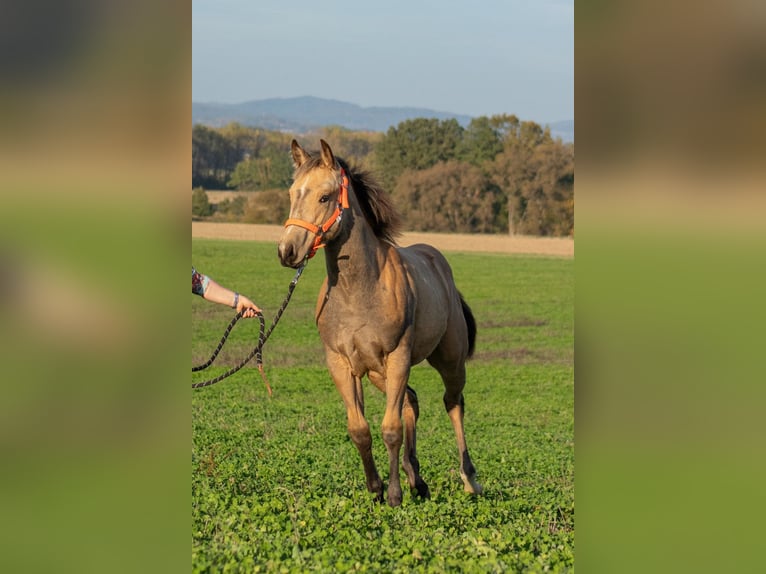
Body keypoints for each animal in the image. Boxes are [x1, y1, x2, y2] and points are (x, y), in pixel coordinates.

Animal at [276, 140, 484, 508]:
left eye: (325, 197)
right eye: (292, 193)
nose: (287, 250)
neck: (359, 290)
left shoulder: (398, 357)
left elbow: (391, 429)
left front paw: (395, 495)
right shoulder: (342, 364)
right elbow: (360, 430)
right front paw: (375, 488)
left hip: (448, 360)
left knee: (453, 403)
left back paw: (469, 479)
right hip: (377, 373)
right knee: (411, 401)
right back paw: (418, 479)